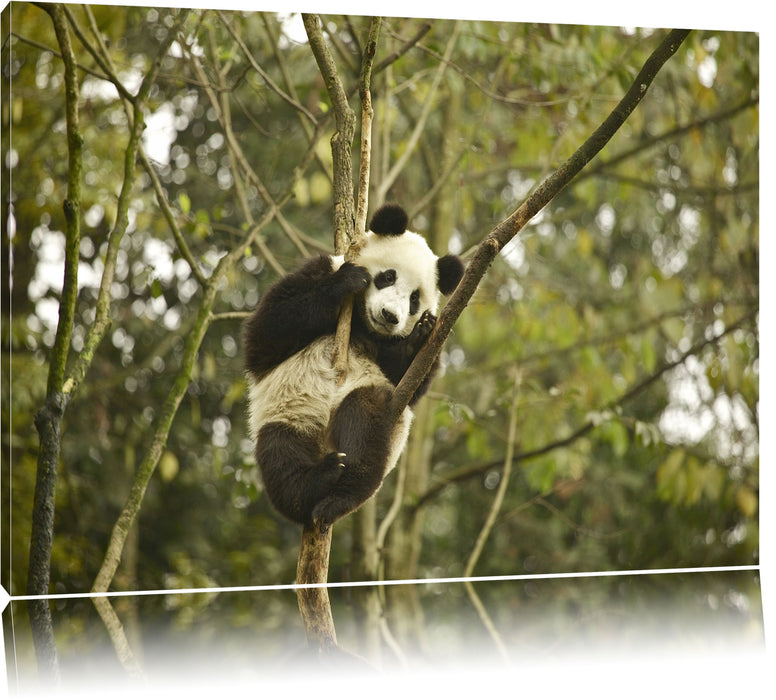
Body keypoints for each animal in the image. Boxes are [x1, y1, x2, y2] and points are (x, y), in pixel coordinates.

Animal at [244, 205, 460, 532]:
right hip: (289, 413)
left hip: (373, 407)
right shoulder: (318, 270)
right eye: (388, 276)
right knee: (280, 454)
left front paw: (420, 334)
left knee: (366, 424)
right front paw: (347, 281)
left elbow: (410, 382)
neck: (363, 325)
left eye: (414, 299)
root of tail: (326, 439)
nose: (389, 316)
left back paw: (340, 494)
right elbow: (265, 333)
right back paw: (317, 481)